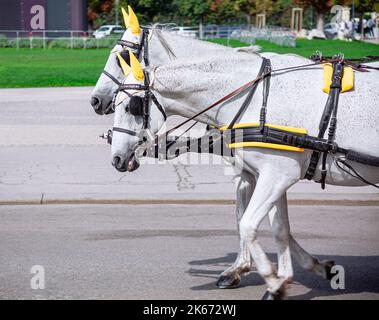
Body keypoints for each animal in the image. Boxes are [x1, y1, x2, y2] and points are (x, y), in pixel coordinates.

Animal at [110, 48, 379, 298]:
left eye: (131, 107)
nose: (117, 158)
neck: (255, 96)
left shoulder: (277, 175)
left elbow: (248, 224)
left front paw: (272, 281)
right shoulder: (271, 176)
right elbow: (280, 229)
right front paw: (293, 274)